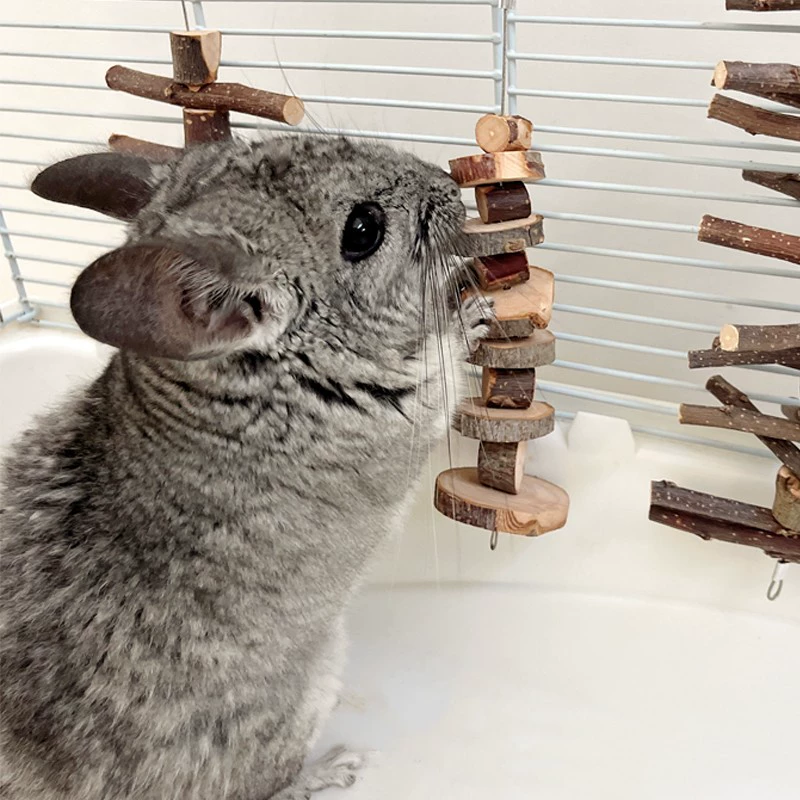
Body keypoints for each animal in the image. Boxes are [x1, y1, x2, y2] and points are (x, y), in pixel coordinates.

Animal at [0, 135, 489, 800]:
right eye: (363, 229)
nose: (450, 180)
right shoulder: (411, 404)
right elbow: (449, 357)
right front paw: (476, 309)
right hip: (306, 695)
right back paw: (334, 768)